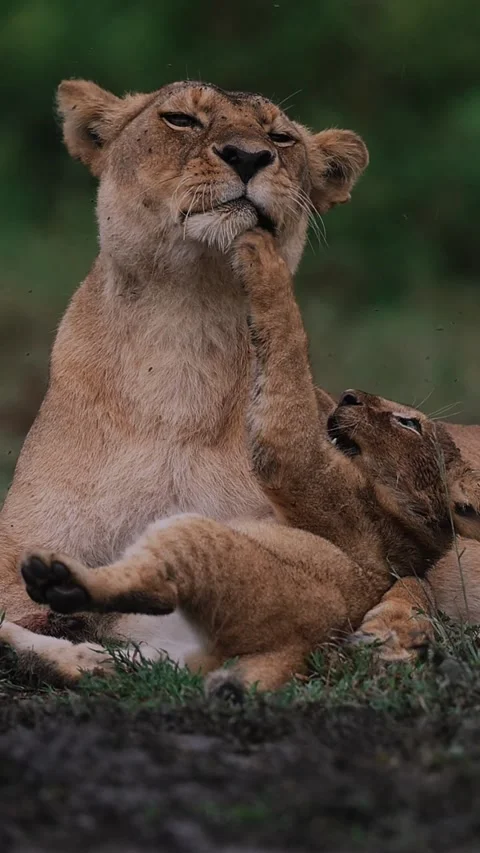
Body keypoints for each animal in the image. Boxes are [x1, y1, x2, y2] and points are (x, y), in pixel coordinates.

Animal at [0, 79, 369, 679]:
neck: (181, 335)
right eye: (180, 120)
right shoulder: (18, 553)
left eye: (280, 136)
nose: (248, 156)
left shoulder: (344, 536)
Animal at [17, 230, 480, 692]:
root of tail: (293, 649)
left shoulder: (307, 469)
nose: (348, 395)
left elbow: (287, 382)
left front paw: (261, 255)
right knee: (100, 665)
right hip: (151, 656)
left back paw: (57, 582)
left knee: (157, 585)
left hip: (190, 537)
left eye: (408, 422)